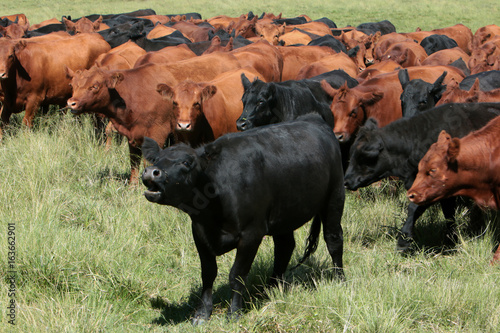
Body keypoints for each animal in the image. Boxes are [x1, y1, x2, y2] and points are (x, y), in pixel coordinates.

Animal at [139, 113, 346, 322]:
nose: (151, 172)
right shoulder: (199, 233)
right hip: (283, 215)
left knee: (333, 239)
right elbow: (208, 274)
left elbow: (236, 275)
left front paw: (234, 313)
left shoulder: (251, 234)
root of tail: (314, 118)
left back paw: (339, 279)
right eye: (156, 159)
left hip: (335, 197)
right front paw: (202, 313)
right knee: (284, 247)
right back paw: (272, 288)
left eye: (186, 163)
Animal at [342, 102, 500, 250]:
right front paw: (451, 240)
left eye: (364, 157)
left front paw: (404, 240)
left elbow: (415, 208)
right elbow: (447, 214)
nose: (346, 181)